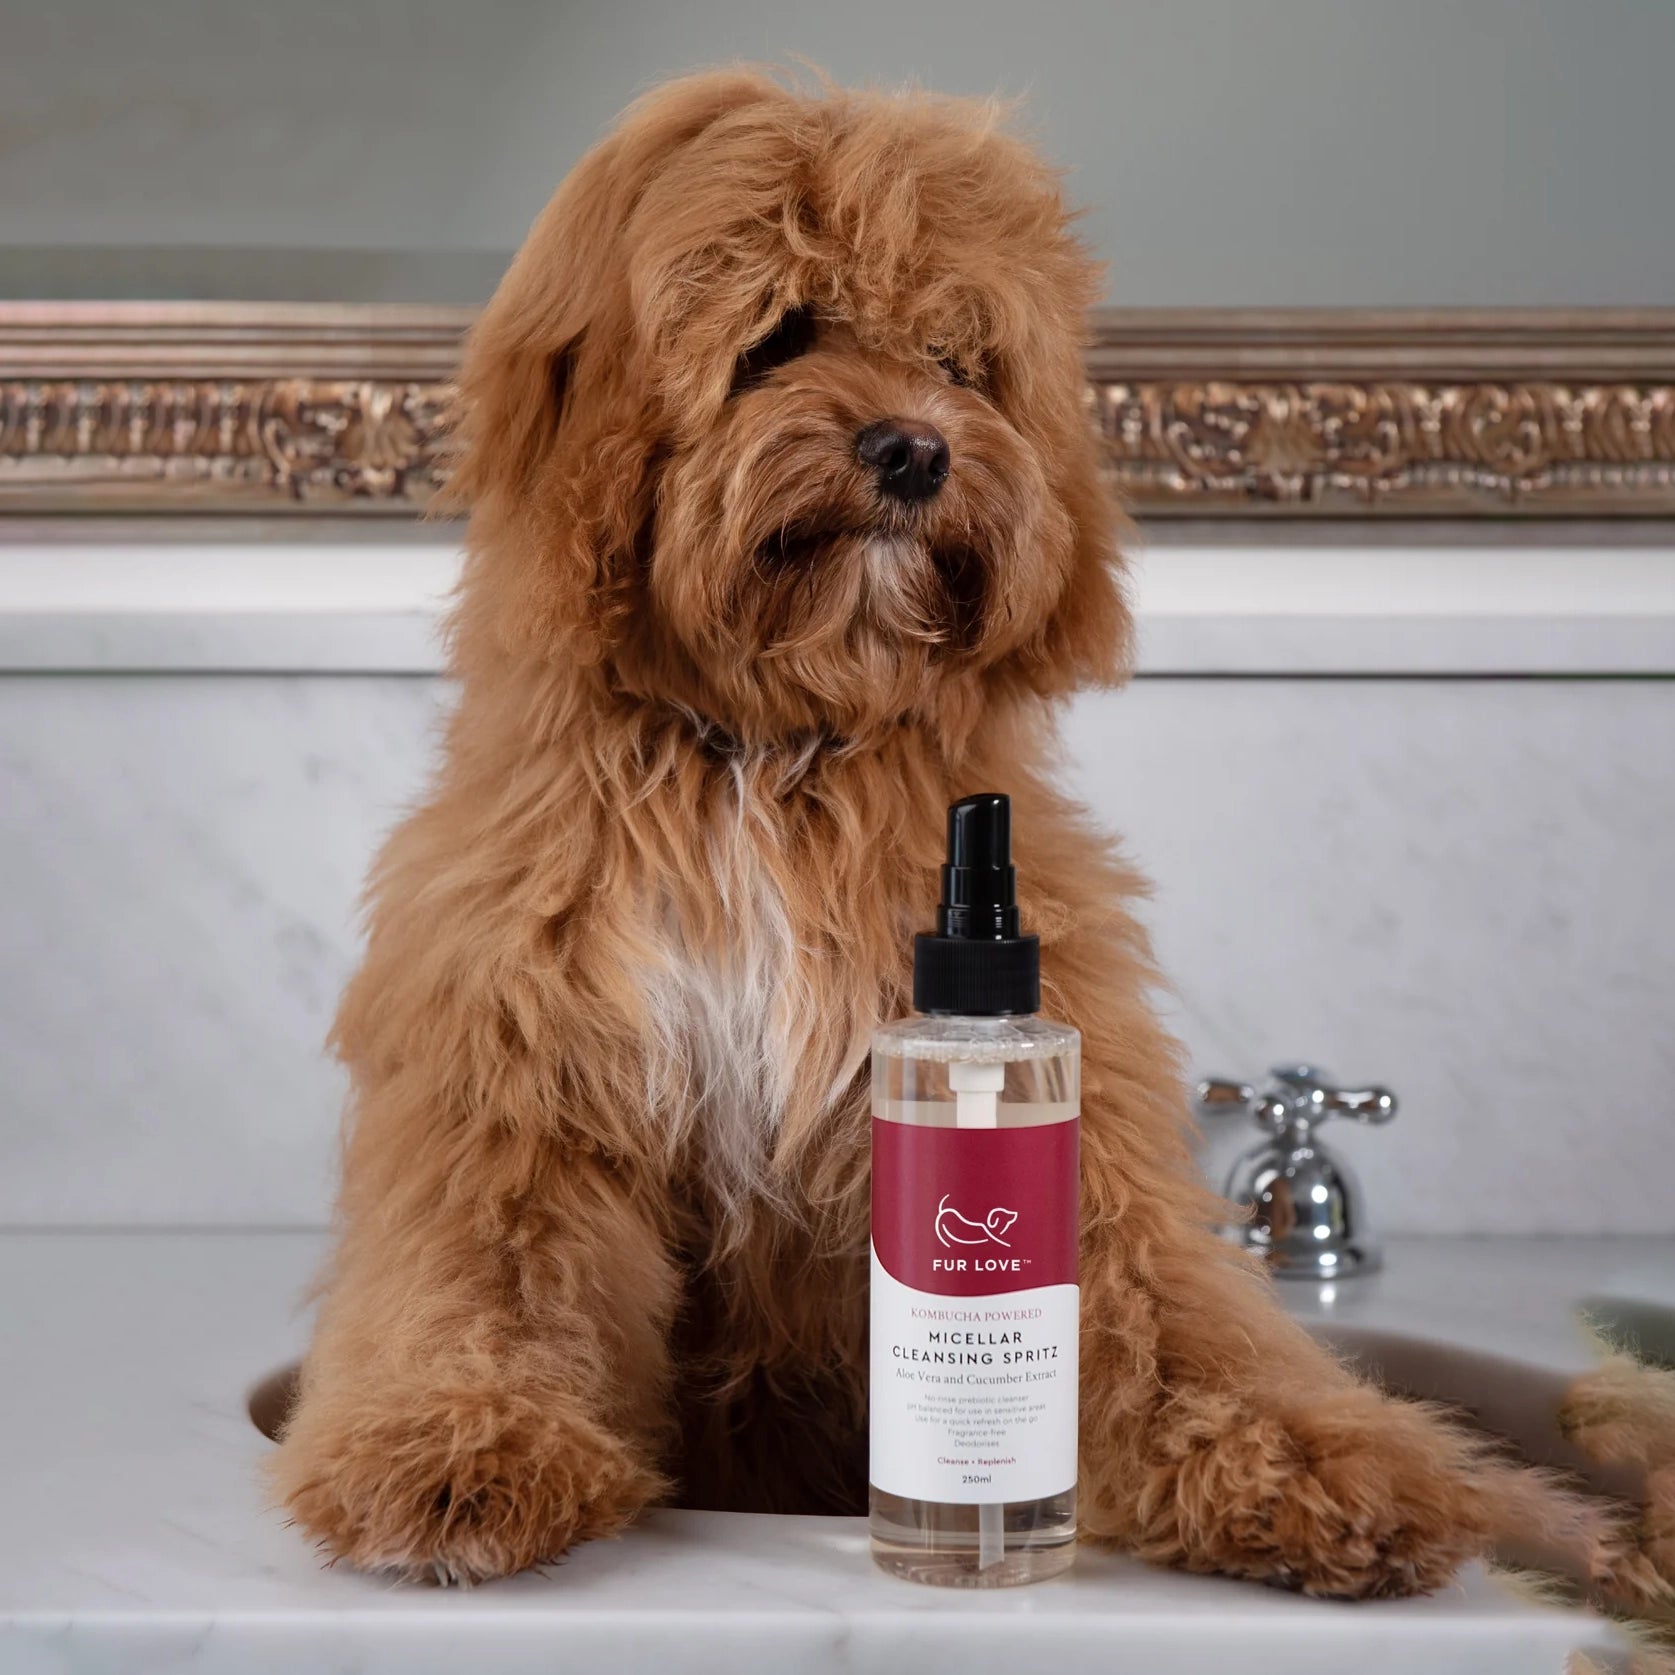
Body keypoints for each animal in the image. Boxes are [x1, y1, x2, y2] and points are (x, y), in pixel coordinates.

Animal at [274, 72, 1634, 1594]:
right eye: (779, 333)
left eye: (958, 356)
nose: (914, 448)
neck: (772, 761)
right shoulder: (518, 1076)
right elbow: (487, 1277)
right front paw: (456, 1447)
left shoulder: (1076, 1131)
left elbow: (1166, 1310)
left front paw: (1318, 1461)